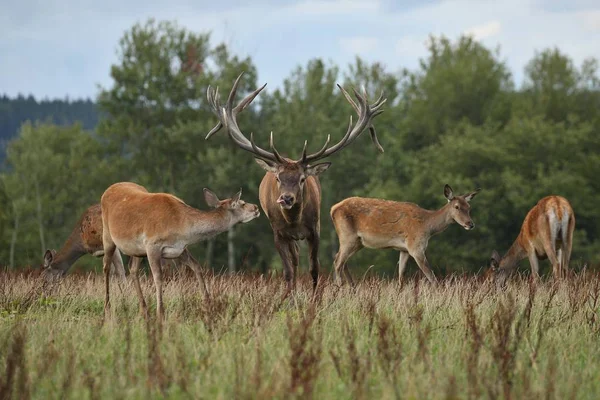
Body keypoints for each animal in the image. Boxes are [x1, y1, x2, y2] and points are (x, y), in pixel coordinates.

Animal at [101, 183, 260, 320]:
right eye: (242, 203)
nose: (257, 207)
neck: (182, 227)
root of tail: (108, 189)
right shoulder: (152, 244)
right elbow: (158, 277)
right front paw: (161, 313)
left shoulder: (179, 249)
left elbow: (197, 267)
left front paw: (208, 304)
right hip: (107, 235)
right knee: (106, 267)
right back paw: (107, 308)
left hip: (137, 251)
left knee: (133, 270)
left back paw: (144, 310)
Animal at [205, 72, 384, 290]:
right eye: (278, 178)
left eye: (302, 179)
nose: (286, 199)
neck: (294, 221)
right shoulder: (278, 233)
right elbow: (288, 271)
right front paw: (288, 296)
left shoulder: (315, 230)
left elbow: (315, 269)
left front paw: (314, 297)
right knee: (295, 260)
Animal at [330, 184, 480, 284]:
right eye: (457, 207)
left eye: (469, 207)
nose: (470, 224)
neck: (427, 226)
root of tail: (333, 209)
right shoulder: (416, 246)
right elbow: (431, 276)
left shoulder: (404, 249)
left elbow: (401, 276)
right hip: (347, 236)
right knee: (338, 262)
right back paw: (340, 287)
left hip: (357, 242)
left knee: (341, 260)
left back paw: (352, 287)